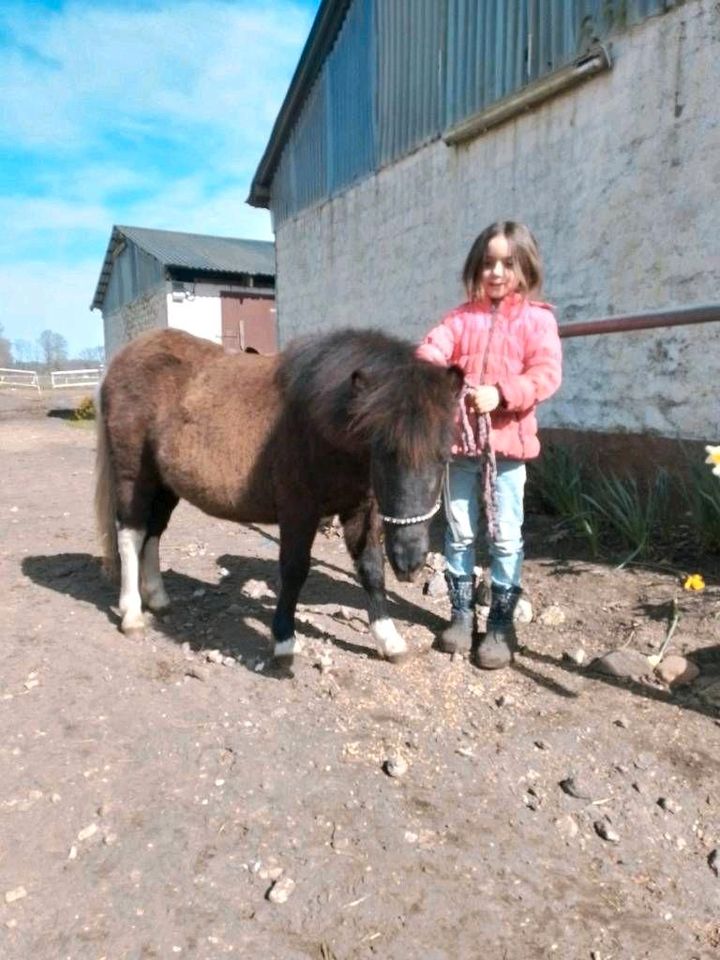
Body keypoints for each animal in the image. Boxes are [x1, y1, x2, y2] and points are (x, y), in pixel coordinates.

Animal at [95, 326, 462, 664]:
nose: (409, 561)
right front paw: (284, 639)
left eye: (443, 456)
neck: (317, 424)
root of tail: (126, 356)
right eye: (383, 452)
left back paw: (158, 599)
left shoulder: (360, 508)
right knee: (131, 534)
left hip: (165, 484)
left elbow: (371, 568)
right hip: (134, 476)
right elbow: (295, 569)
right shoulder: (298, 511)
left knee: (153, 533)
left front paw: (389, 639)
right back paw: (132, 614)